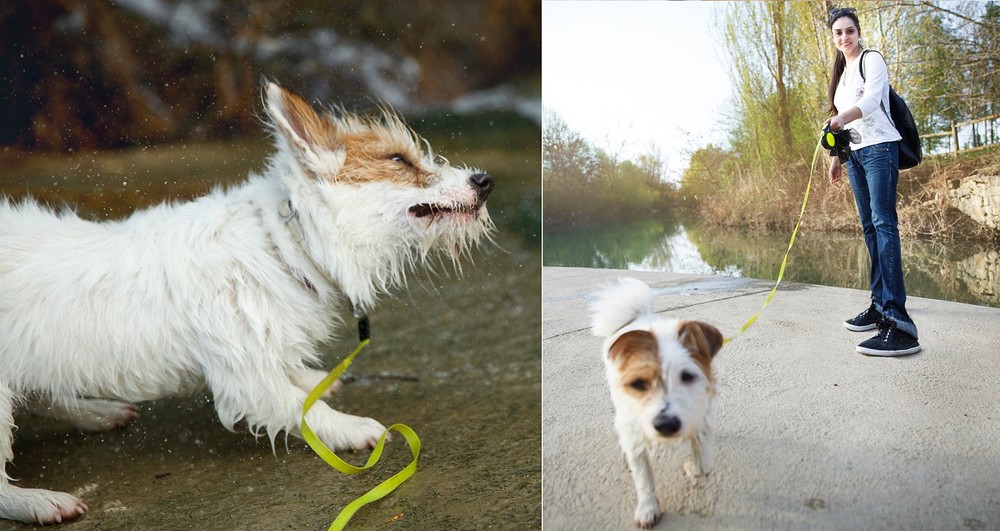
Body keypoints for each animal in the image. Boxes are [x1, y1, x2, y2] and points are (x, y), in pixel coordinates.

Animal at [0, 82, 496, 524]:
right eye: (399, 160)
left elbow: (292, 375)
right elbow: (302, 408)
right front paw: (350, 427)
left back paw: (97, 412)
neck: (286, 242)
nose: (485, 181)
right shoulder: (245, 377)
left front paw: (311, 379)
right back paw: (38, 501)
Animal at [588, 278, 724, 528]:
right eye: (638, 384)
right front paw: (647, 508)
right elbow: (644, 480)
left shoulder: (703, 418)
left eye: (687, 376)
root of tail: (640, 316)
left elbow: (702, 464)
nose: (666, 425)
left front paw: (692, 467)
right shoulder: (635, 437)